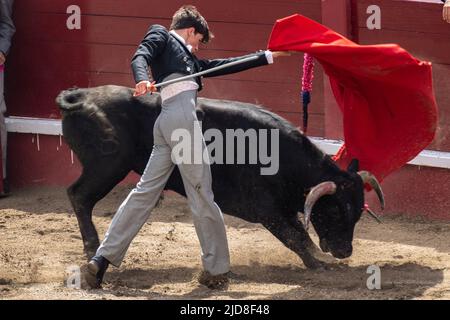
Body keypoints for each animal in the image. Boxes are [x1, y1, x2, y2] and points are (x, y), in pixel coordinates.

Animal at [56, 84, 384, 268]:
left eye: (358, 214)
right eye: (336, 211)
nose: (345, 251)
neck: (284, 157)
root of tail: (80, 95)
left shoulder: (281, 210)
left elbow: (298, 235)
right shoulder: (266, 210)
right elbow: (297, 237)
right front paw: (319, 264)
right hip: (108, 166)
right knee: (79, 195)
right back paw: (91, 248)